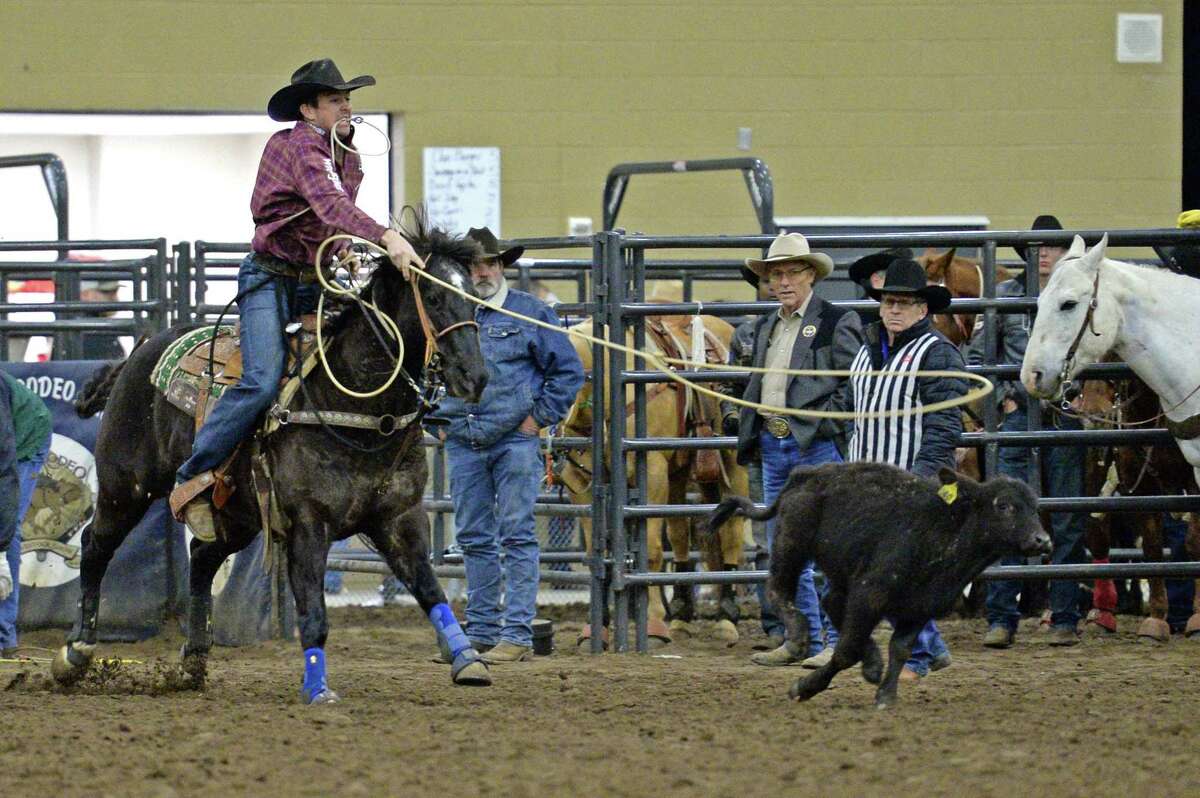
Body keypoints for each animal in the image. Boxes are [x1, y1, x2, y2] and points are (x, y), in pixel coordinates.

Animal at [51, 214, 492, 700]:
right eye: (432, 296)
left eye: (476, 296)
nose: (475, 376)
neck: (357, 405)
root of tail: (140, 352)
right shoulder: (308, 523)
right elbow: (314, 614)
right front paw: (318, 688)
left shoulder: (400, 517)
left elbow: (431, 590)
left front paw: (467, 659)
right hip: (125, 487)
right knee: (95, 546)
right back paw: (75, 653)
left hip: (237, 514)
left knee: (202, 557)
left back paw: (193, 660)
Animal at [552, 307, 748, 643]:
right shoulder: (583, 482)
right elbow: (596, 552)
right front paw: (596, 627)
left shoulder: (652, 470)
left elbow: (653, 550)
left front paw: (654, 624)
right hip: (679, 474)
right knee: (682, 532)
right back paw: (681, 613)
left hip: (731, 464)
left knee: (732, 532)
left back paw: (726, 617)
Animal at [1075, 374, 1200, 643]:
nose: (1093, 414)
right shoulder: (1143, 488)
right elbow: (1152, 548)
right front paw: (1156, 619)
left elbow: (1194, 543)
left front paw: (1197, 617)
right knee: (1098, 535)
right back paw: (1101, 613)